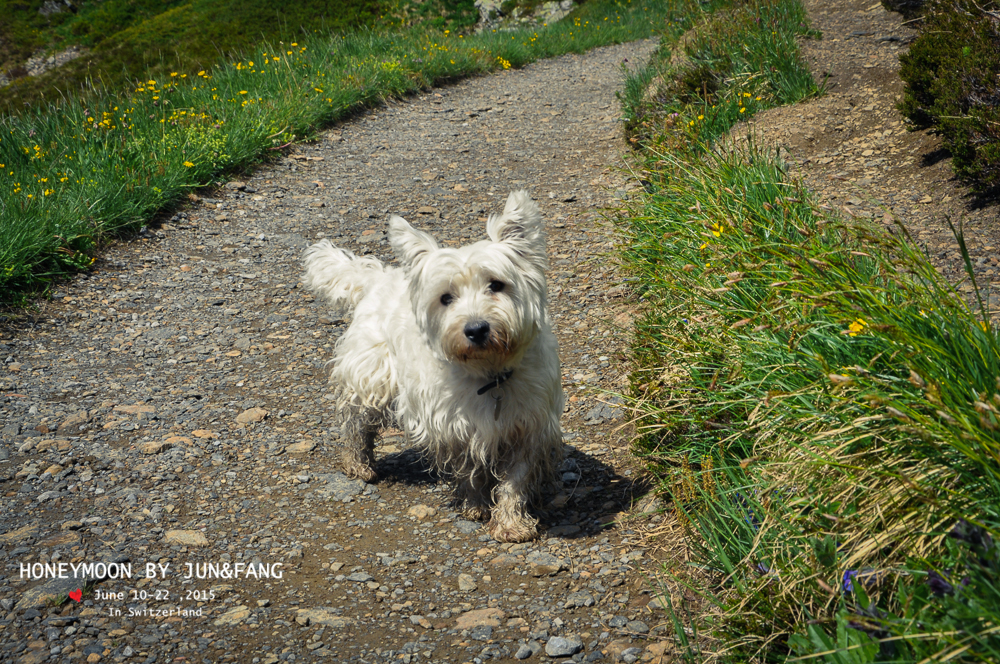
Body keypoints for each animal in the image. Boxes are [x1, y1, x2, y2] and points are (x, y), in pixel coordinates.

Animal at [300, 189, 568, 544]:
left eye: (496, 285)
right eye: (446, 298)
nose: (476, 329)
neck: (490, 375)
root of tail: (379, 277)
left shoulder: (529, 426)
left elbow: (516, 479)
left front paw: (511, 523)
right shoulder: (453, 424)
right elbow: (469, 469)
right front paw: (475, 505)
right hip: (372, 375)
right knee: (357, 422)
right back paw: (358, 463)